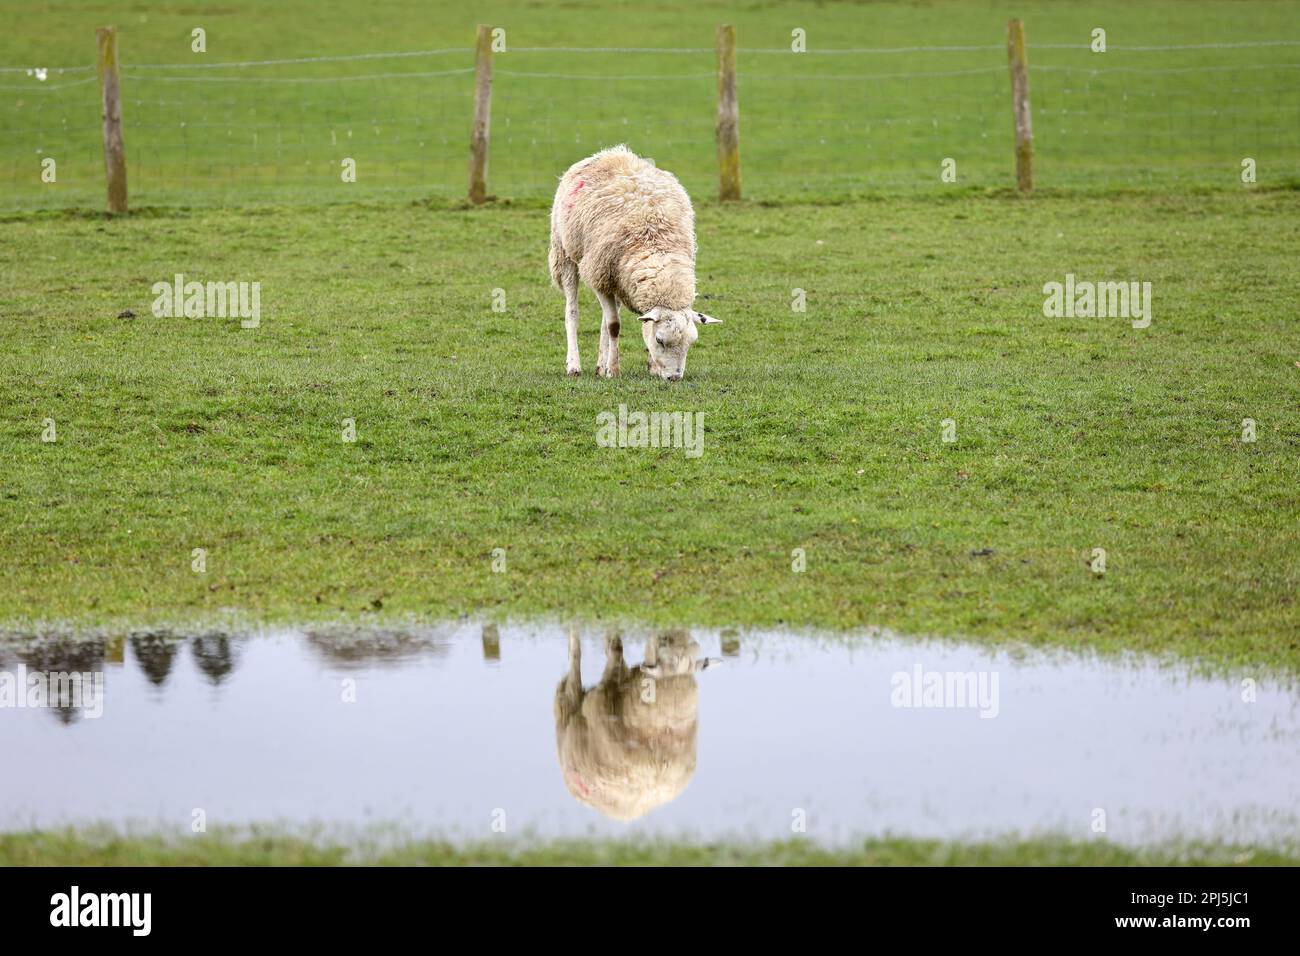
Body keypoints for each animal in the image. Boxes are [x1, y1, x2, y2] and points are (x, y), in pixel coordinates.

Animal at [548, 145, 721, 381]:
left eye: (691, 343)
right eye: (660, 340)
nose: (674, 378)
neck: (655, 242)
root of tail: (610, 153)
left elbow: (632, 323)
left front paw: (650, 366)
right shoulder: (600, 275)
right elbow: (614, 326)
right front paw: (614, 370)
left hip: (619, 281)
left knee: (603, 319)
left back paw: (600, 366)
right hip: (565, 254)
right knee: (572, 312)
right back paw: (574, 366)